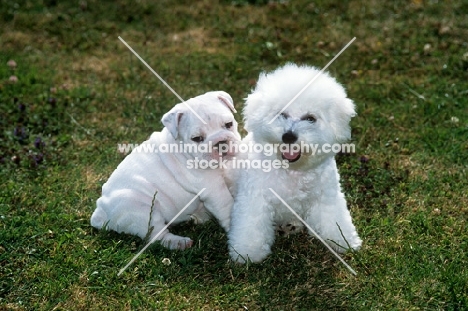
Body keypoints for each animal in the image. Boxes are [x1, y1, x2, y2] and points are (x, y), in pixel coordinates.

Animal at [91, 91, 241, 251]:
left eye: (229, 124)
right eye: (197, 138)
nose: (221, 143)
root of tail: (101, 210)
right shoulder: (214, 188)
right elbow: (227, 205)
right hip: (140, 209)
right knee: (156, 235)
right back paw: (179, 242)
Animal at [229, 63, 364, 264]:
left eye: (310, 118)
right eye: (282, 114)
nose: (288, 136)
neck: (292, 170)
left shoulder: (327, 196)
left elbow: (335, 219)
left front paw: (344, 241)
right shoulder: (254, 198)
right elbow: (251, 226)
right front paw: (246, 252)